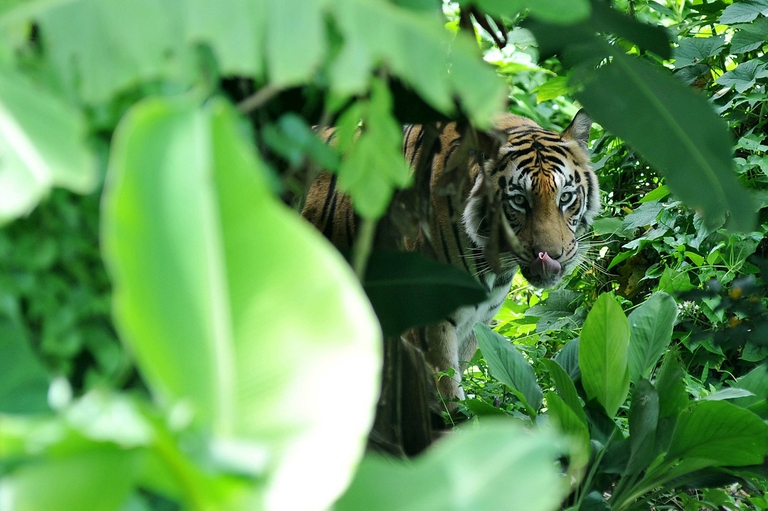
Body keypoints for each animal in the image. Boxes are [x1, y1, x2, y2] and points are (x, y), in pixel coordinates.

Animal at [302, 110, 600, 412]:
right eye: (518, 201)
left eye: (566, 197)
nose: (551, 255)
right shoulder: (428, 320)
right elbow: (447, 394)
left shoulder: (477, 322)